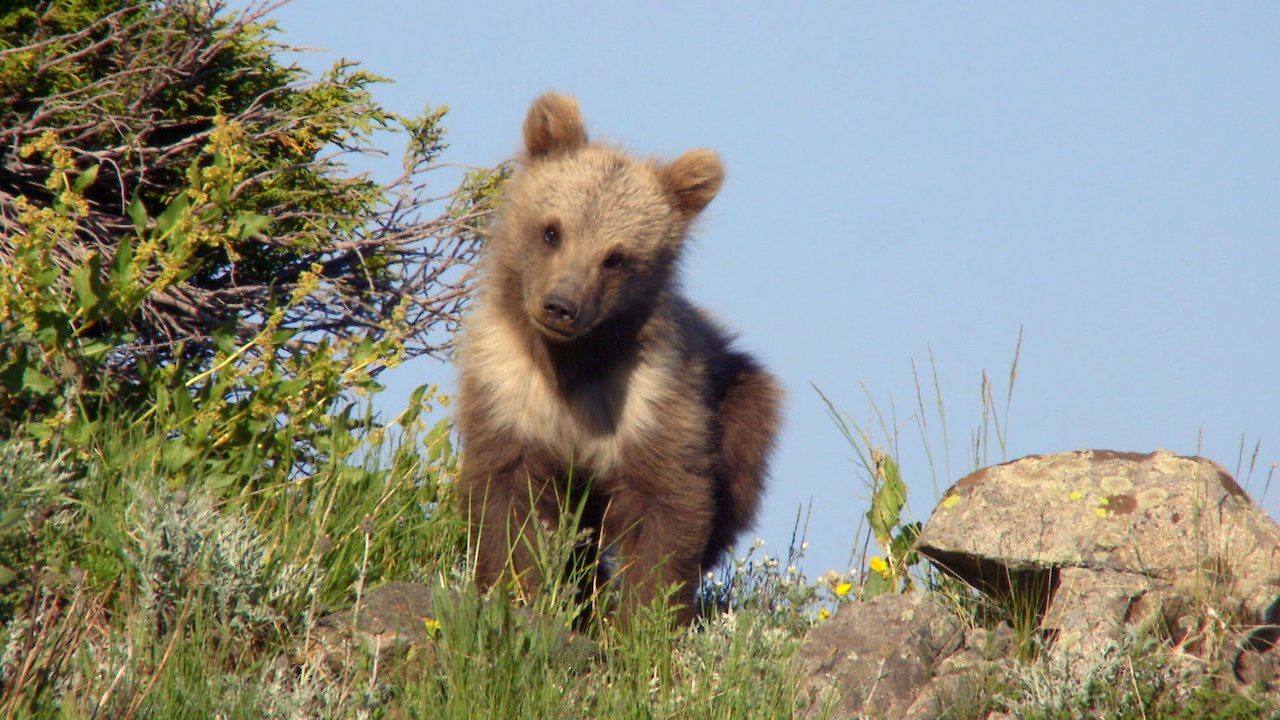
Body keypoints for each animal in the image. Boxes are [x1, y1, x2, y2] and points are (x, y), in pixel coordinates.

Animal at [455, 92, 782, 625]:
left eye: (617, 257)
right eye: (552, 230)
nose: (561, 306)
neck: (570, 364)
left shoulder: (650, 400)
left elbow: (666, 505)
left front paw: (642, 620)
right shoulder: (507, 387)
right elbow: (508, 500)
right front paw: (520, 590)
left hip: (741, 402)